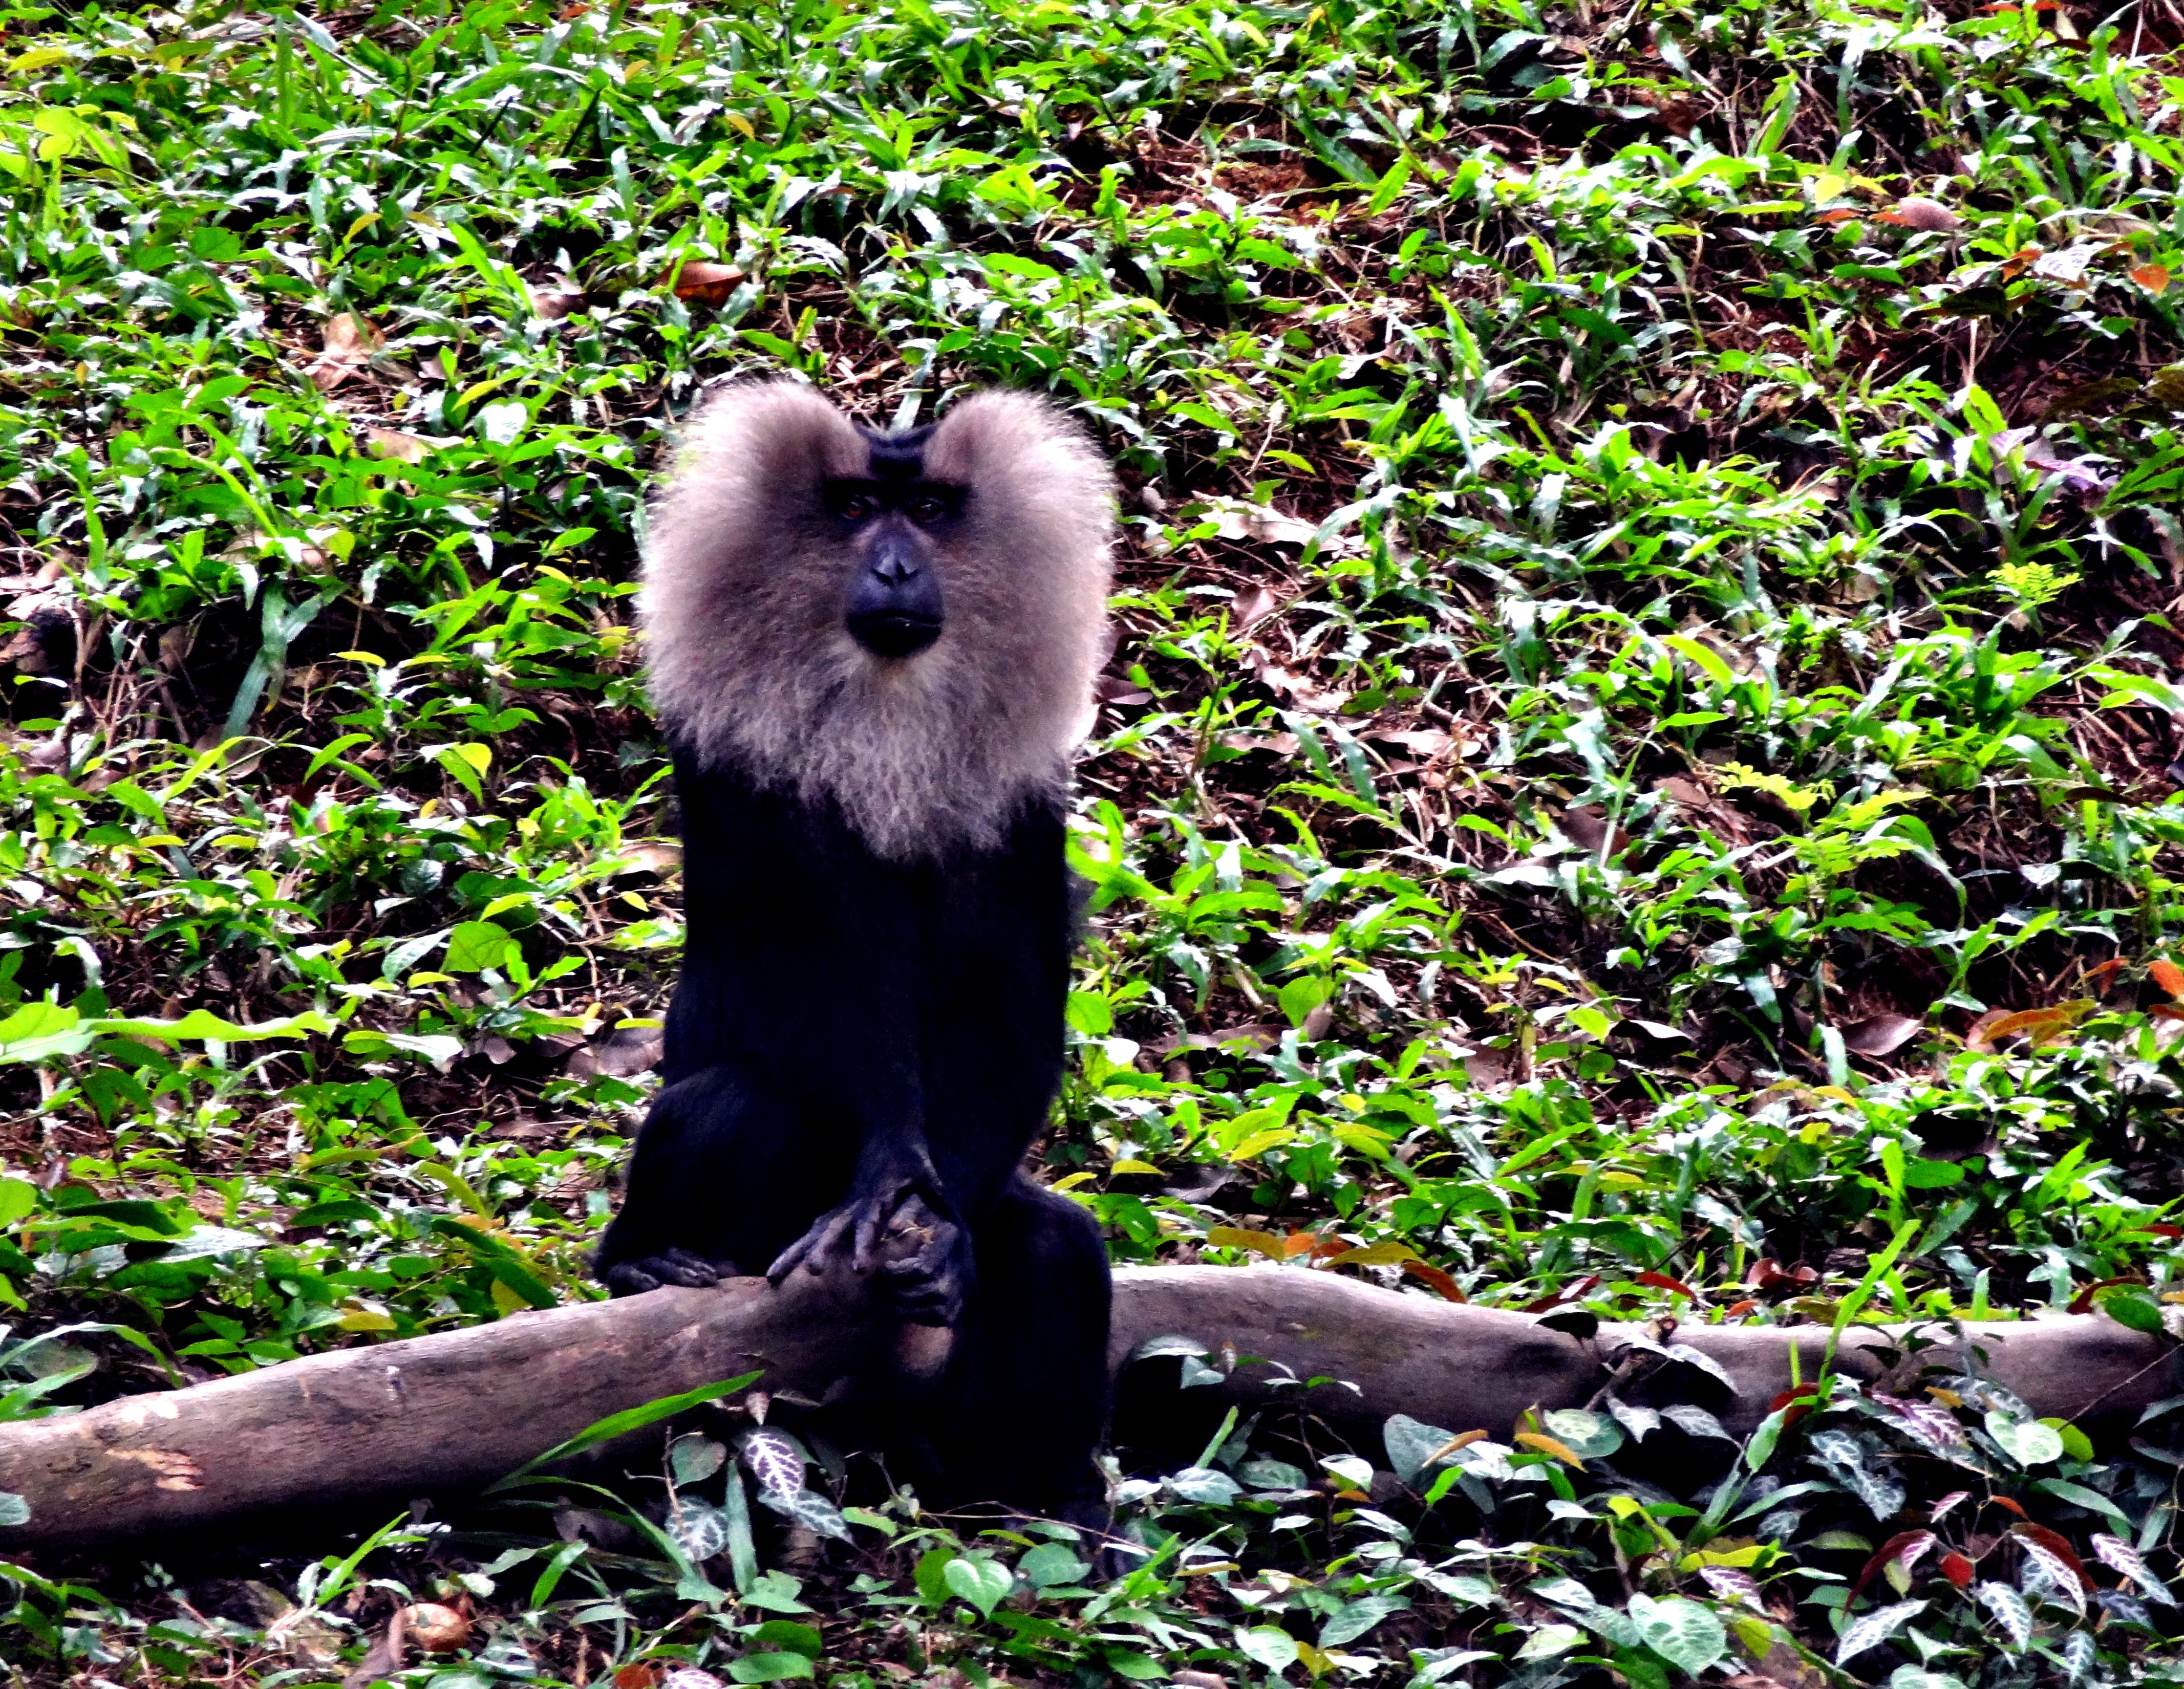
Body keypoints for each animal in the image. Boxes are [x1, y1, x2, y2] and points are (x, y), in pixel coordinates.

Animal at [594, 379, 1117, 1532]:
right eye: (849, 511)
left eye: (925, 510)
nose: (894, 569)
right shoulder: (741, 768)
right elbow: (807, 968)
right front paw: (888, 1178)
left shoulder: (1027, 803)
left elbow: (1009, 997)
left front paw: (941, 1227)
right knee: (737, 1102)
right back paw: (639, 1256)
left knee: (1052, 1245)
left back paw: (1048, 1498)